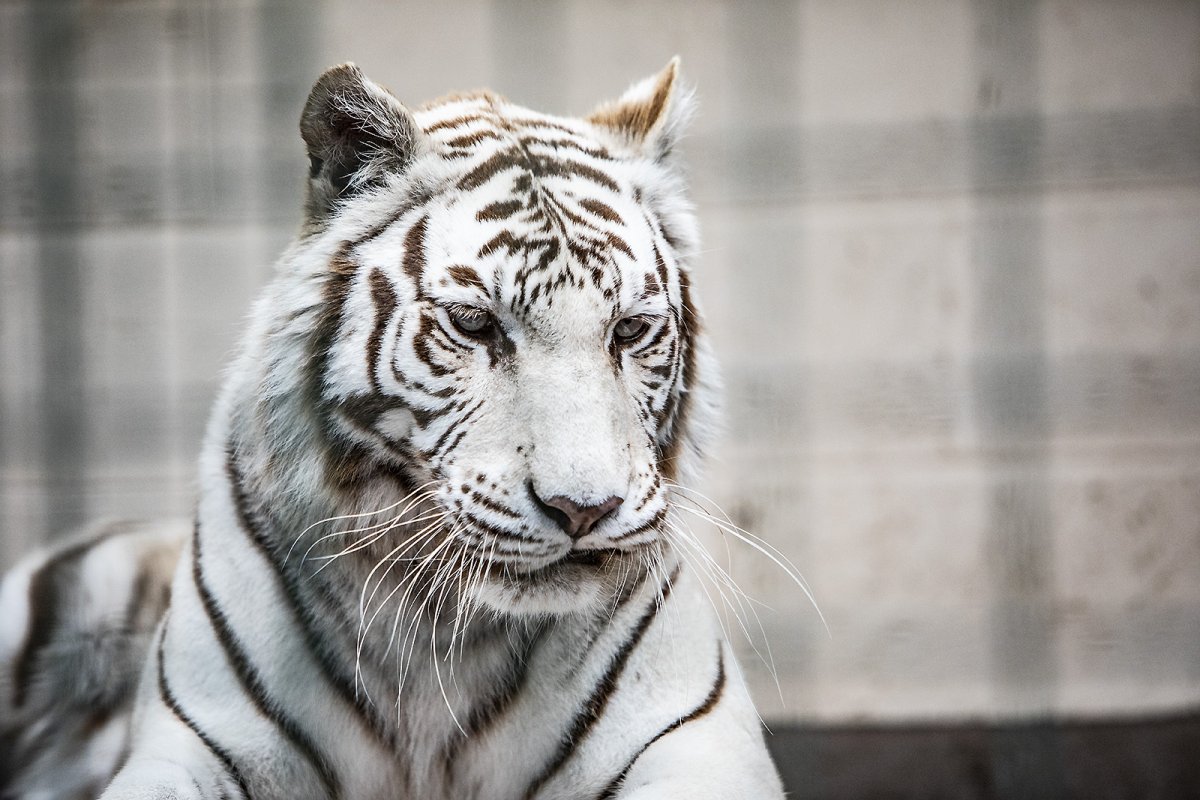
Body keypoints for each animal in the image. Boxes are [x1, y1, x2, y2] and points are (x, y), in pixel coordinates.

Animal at [0, 60, 787, 800]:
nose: (583, 510)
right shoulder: (198, 741)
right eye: (474, 324)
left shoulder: (699, 745)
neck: (441, 628)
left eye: (629, 330)